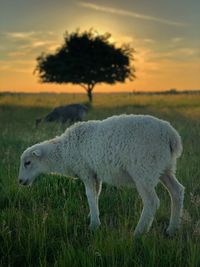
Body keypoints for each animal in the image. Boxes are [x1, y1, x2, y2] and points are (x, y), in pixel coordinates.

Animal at [18, 114, 184, 238]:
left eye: (27, 162)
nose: (20, 181)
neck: (64, 152)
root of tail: (171, 135)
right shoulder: (94, 173)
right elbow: (96, 194)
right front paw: (92, 215)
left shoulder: (85, 170)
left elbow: (90, 195)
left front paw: (94, 225)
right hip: (165, 168)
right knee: (177, 191)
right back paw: (171, 230)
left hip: (143, 170)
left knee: (152, 202)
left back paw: (138, 233)